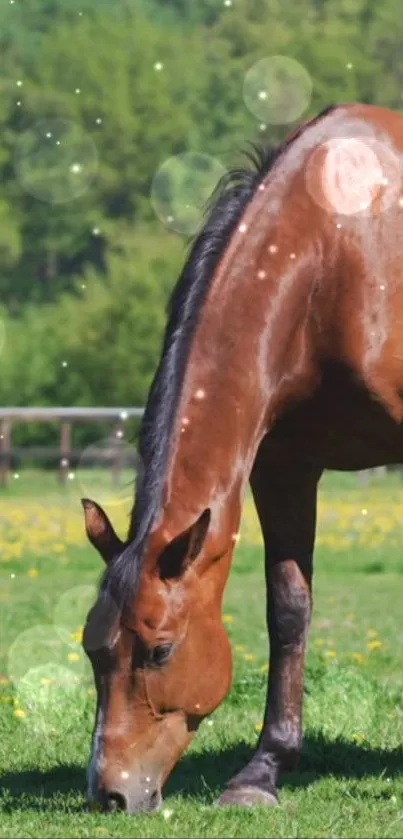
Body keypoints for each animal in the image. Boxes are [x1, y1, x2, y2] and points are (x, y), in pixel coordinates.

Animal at [82, 101, 403, 812]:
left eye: (160, 651)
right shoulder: (283, 465)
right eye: (93, 648)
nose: (110, 794)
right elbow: (288, 609)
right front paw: (264, 770)